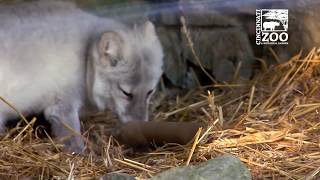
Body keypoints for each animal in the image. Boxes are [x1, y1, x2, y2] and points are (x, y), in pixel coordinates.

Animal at [0, 1, 162, 152]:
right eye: (126, 93)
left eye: (150, 91)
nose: (141, 123)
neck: (85, 59)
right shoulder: (63, 108)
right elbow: (75, 141)